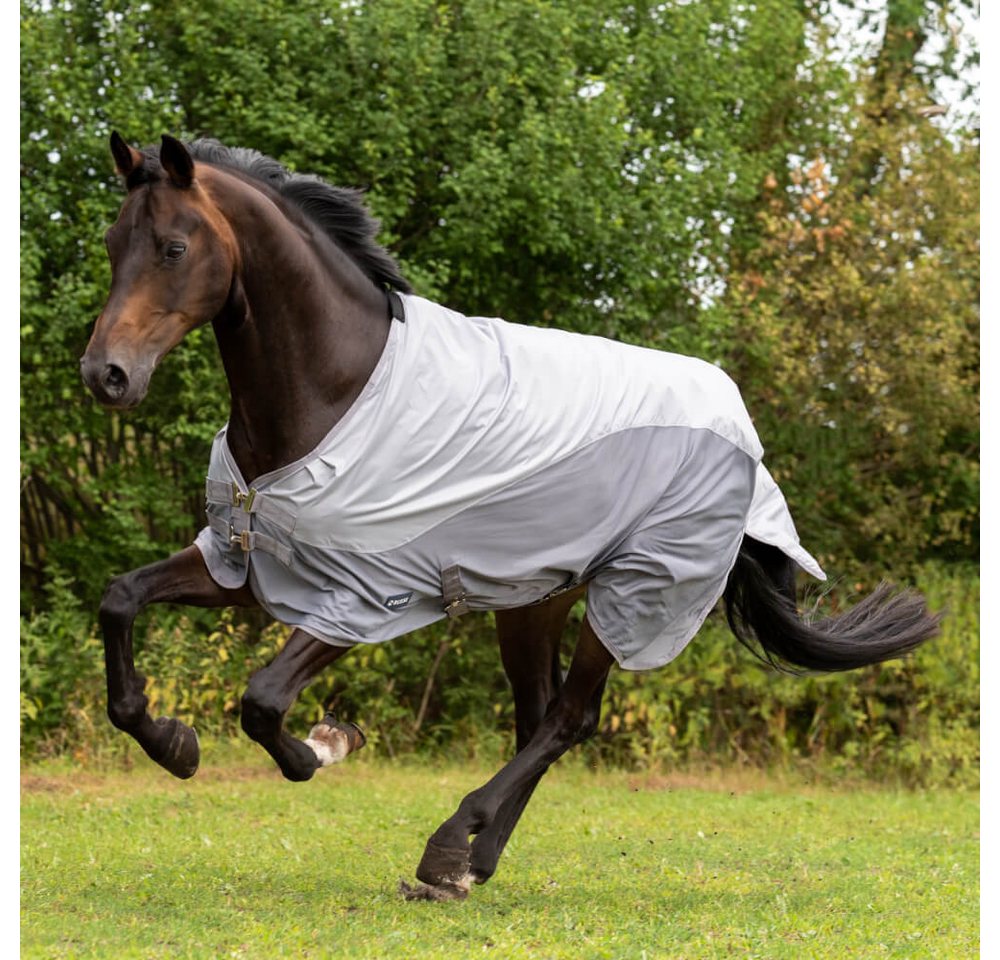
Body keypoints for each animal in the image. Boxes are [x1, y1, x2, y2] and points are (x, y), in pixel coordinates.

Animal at [80, 133, 939, 902]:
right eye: (115, 242)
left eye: (174, 246)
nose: (105, 375)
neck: (339, 387)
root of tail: (739, 426)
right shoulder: (245, 560)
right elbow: (120, 600)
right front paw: (173, 743)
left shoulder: (365, 597)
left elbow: (261, 702)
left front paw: (328, 745)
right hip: (536, 598)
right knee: (539, 719)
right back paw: (470, 863)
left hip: (634, 593)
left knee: (569, 718)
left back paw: (446, 848)